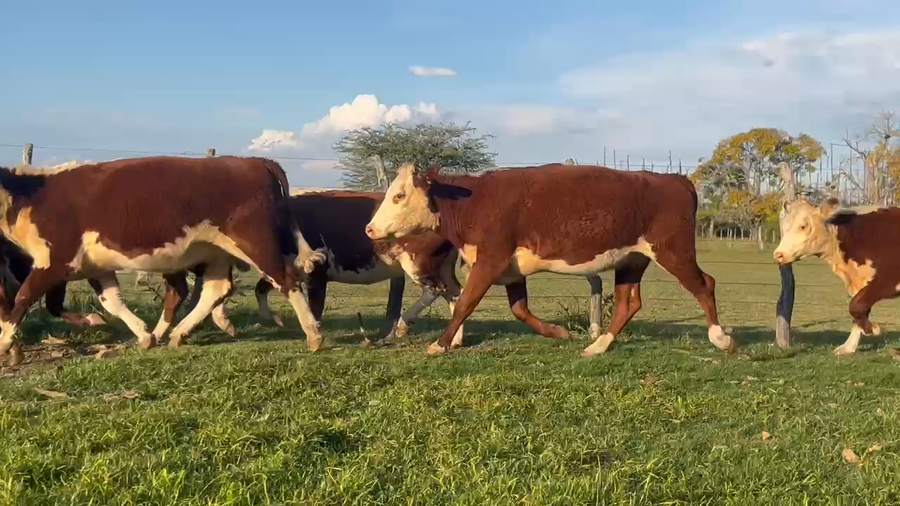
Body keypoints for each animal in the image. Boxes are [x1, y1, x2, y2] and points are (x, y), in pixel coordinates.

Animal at [0, 156, 325, 365]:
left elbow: (22, 297)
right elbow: (111, 302)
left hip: (254, 242)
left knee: (286, 279)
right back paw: (177, 334)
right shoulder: (92, 265)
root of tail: (254, 160)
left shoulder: (52, 261)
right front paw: (142, 335)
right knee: (215, 290)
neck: (33, 196)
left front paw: (5, 342)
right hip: (216, 251)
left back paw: (313, 335)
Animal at [252, 190, 465, 347]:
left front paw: (315, 337)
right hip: (443, 265)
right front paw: (271, 319)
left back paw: (401, 327)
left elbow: (315, 307)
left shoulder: (317, 272)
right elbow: (260, 288)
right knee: (455, 292)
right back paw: (454, 341)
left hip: (418, 262)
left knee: (436, 289)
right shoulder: (282, 270)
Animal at [364, 163, 737, 357]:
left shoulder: (490, 261)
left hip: (673, 250)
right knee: (628, 303)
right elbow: (519, 309)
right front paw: (559, 332)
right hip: (632, 259)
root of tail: (674, 179)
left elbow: (465, 303)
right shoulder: (511, 269)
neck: (474, 202)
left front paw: (440, 344)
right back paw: (599, 345)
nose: (370, 228)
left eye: (399, 195)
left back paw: (720, 338)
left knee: (704, 284)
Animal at [774, 197, 898, 355]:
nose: (778, 254)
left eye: (803, 226)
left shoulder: (886, 281)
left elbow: (855, 306)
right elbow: (859, 310)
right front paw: (848, 347)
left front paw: (874, 329)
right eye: (785, 227)